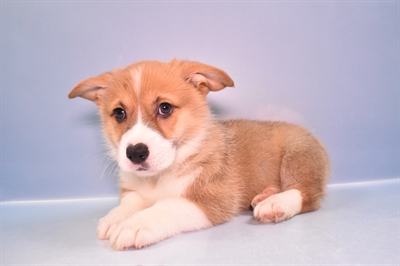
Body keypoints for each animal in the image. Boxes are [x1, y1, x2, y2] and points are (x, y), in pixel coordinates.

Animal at [69, 59, 330, 250]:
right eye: (119, 113)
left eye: (165, 108)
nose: (135, 153)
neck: (158, 178)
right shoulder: (133, 190)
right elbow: (129, 202)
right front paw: (114, 218)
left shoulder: (211, 199)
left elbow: (167, 206)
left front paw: (134, 224)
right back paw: (264, 196)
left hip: (298, 154)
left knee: (306, 194)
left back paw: (275, 203)